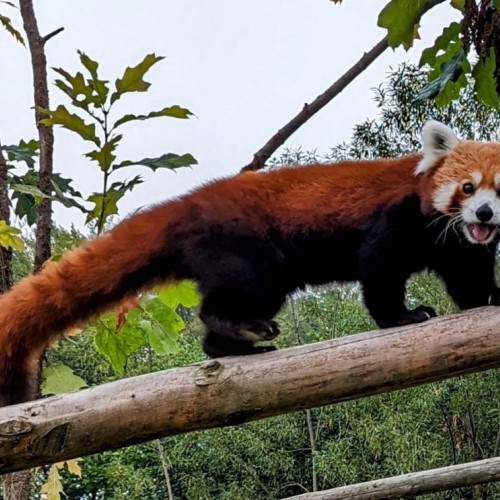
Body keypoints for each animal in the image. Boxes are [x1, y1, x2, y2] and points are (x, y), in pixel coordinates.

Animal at [0, 121, 500, 406]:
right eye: (468, 188)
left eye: (497, 192)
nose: (484, 215)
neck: (443, 230)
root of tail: (190, 201)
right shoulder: (397, 219)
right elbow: (378, 270)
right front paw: (402, 316)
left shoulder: (460, 248)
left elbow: (470, 284)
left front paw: (490, 299)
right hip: (244, 247)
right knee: (236, 291)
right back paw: (237, 327)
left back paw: (232, 348)